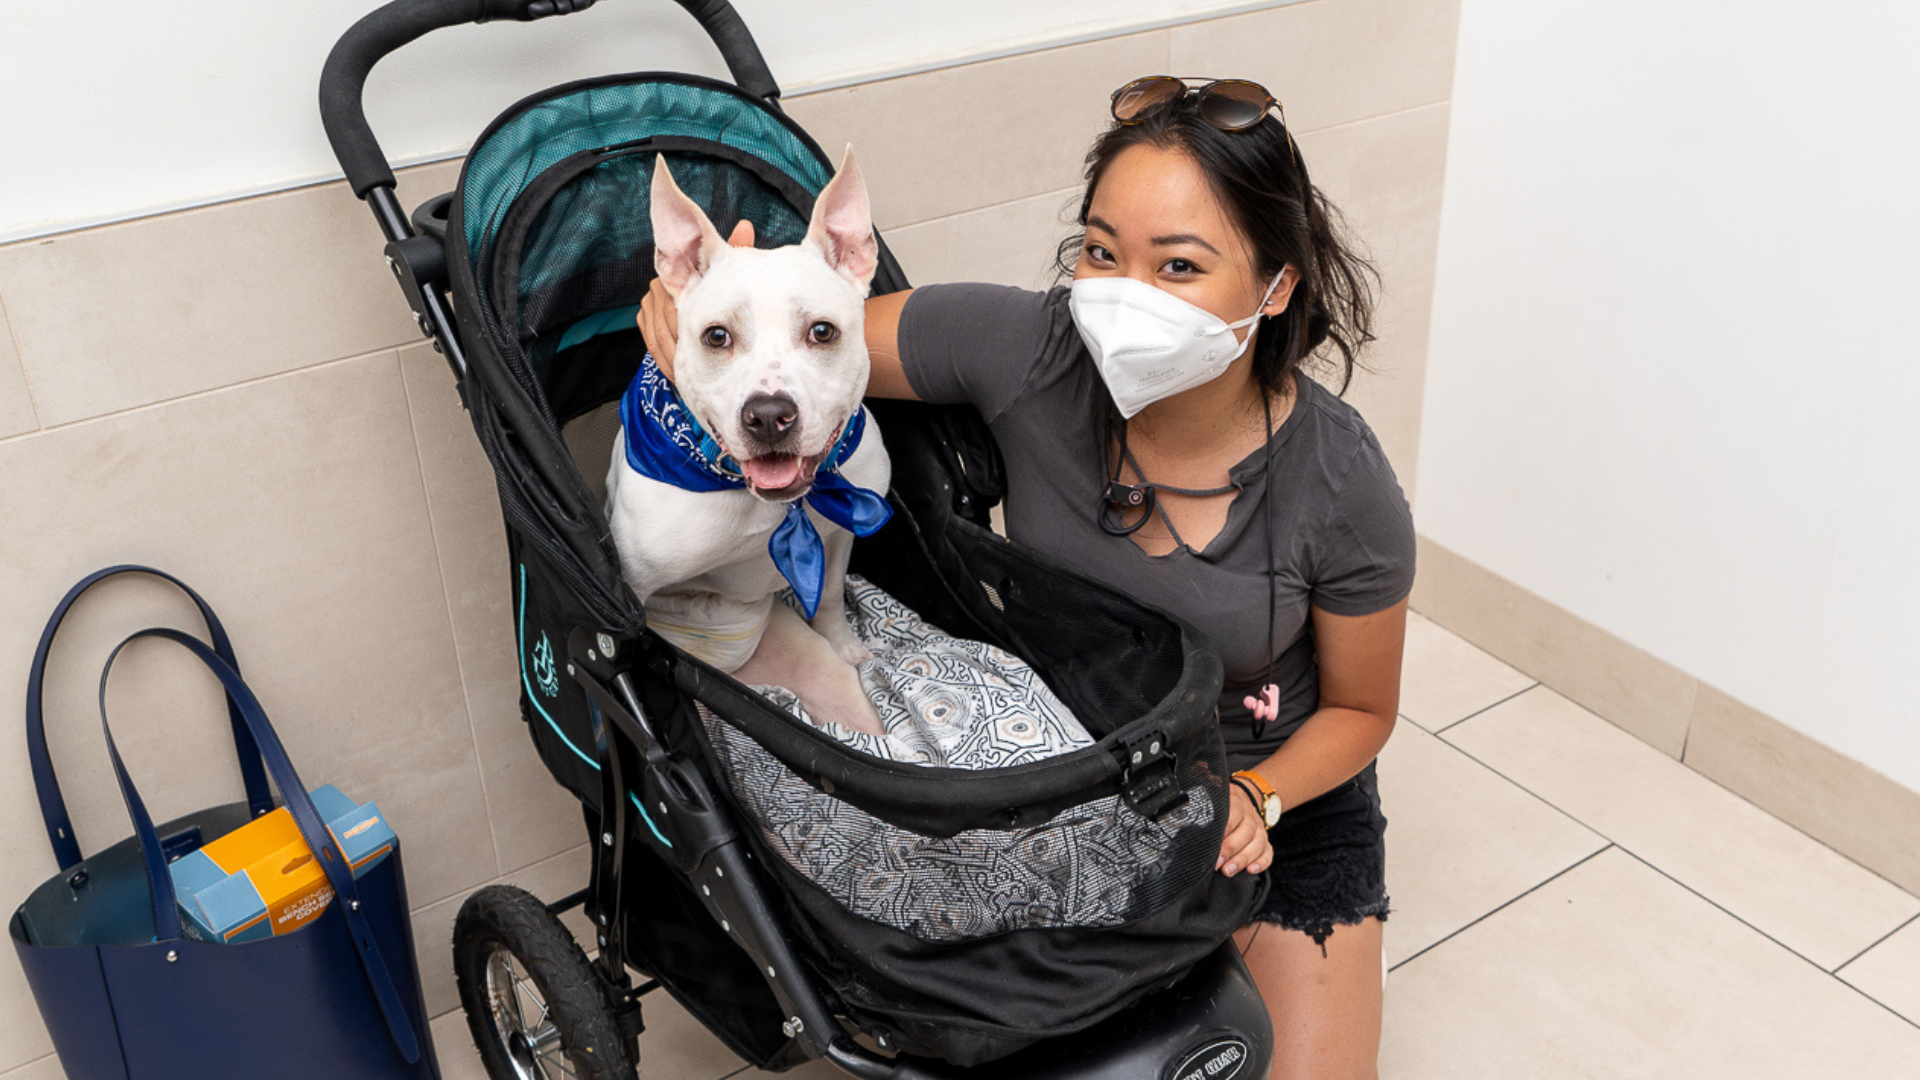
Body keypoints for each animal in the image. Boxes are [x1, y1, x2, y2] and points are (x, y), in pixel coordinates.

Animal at [606, 148, 890, 730]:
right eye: (717, 336)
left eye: (822, 332)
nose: (769, 415)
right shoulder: (633, 587)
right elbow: (633, 641)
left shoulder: (839, 536)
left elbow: (830, 595)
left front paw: (845, 642)